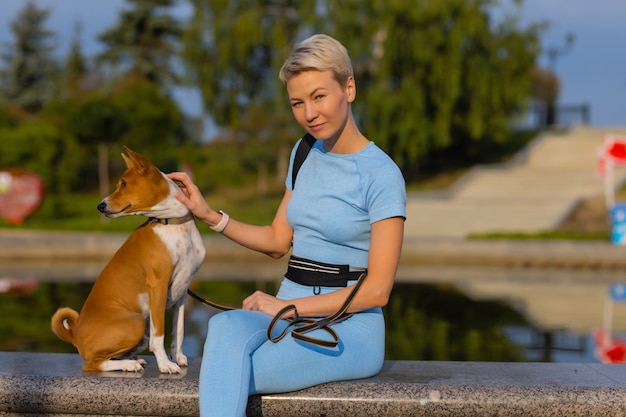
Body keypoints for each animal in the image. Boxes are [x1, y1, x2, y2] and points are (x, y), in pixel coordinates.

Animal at [50, 145, 205, 370]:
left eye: (123, 184)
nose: (100, 206)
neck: (173, 223)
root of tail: (75, 333)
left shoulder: (182, 291)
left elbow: (179, 331)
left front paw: (178, 357)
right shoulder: (158, 285)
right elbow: (159, 335)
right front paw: (165, 364)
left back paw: (132, 360)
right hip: (137, 322)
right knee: (92, 363)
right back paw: (128, 365)